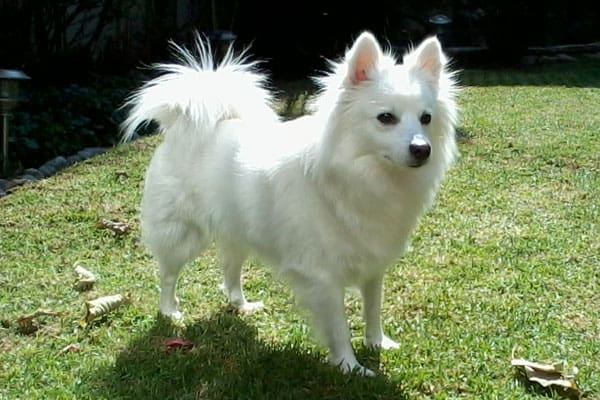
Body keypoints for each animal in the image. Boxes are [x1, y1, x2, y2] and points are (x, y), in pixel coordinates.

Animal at [123, 31, 460, 376]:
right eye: (386, 118)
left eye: (426, 119)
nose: (422, 148)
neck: (359, 176)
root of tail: (184, 124)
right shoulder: (323, 279)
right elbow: (339, 327)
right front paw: (350, 368)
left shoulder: (373, 267)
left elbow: (373, 309)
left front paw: (378, 343)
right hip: (182, 236)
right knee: (168, 276)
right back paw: (170, 312)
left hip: (237, 232)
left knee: (230, 271)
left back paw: (241, 304)